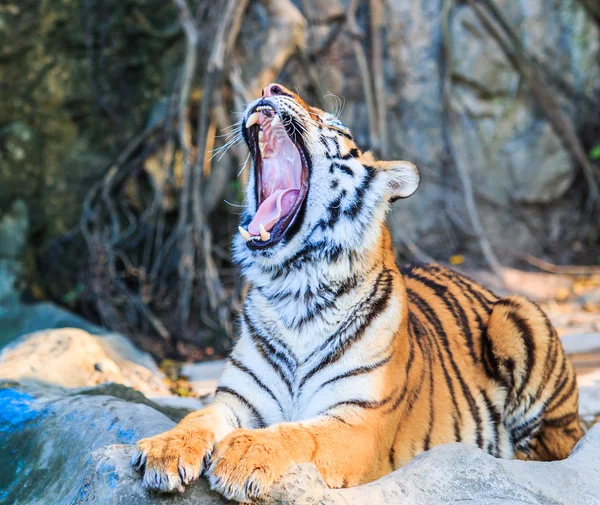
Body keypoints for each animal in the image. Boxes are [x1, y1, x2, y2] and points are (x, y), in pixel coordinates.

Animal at [131, 82, 580, 500]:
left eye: (331, 123)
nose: (271, 87)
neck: (294, 289)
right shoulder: (238, 398)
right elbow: (197, 418)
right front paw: (164, 450)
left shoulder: (358, 421)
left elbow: (298, 434)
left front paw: (243, 454)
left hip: (520, 316)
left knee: (558, 446)